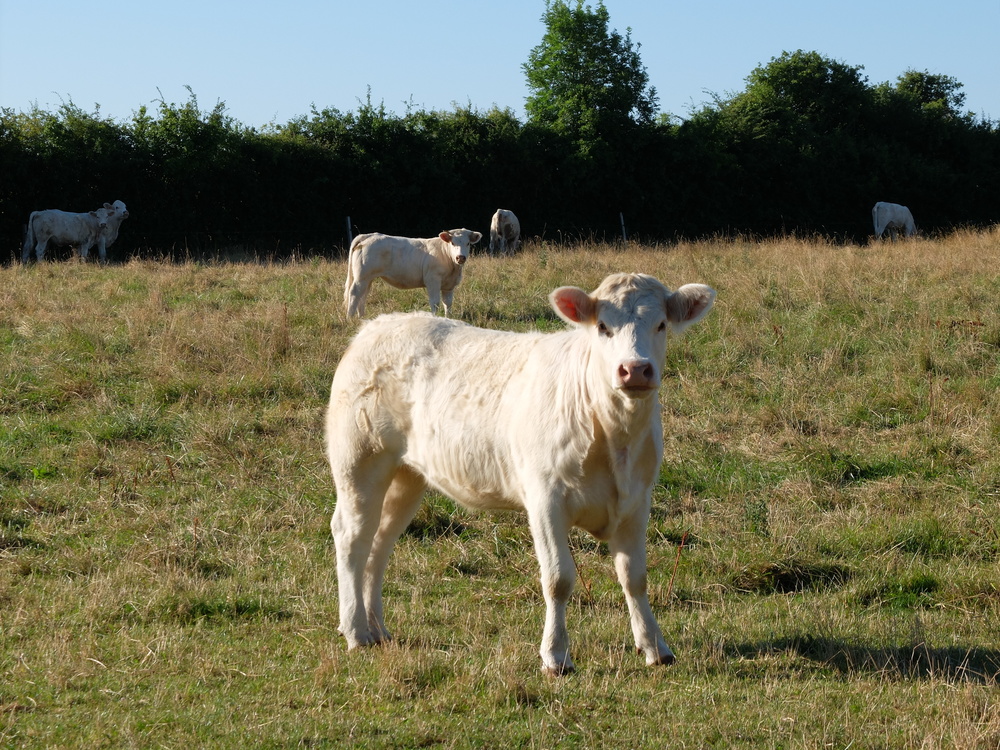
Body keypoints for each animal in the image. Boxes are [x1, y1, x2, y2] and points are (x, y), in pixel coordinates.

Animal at [328, 274, 720, 680]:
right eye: (602, 327)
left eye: (661, 325)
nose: (636, 369)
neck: (615, 437)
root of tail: (379, 324)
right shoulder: (545, 499)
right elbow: (558, 579)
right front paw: (556, 655)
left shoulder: (637, 501)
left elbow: (635, 577)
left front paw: (655, 646)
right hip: (359, 461)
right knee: (352, 538)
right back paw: (356, 630)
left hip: (406, 476)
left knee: (380, 543)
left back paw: (377, 629)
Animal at [344, 232, 484, 320]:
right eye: (452, 243)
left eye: (468, 243)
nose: (460, 257)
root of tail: (369, 235)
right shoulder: (432, 280)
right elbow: (435, 303)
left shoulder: (449, 285)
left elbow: (447, 303)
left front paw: (448, 318)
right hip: (361, 277)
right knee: (354, 293)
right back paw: (350, 318)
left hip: (368, 278)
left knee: (362, 296)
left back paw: (361, 318)